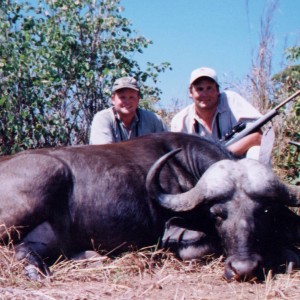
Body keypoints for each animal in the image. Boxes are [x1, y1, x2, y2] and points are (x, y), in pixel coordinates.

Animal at [0, 132, 298, 282]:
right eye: (217, 215)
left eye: (264, 212)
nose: (244, 268)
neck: (184, 166)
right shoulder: (171, 235)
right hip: (48, 178)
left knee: (25, 250)